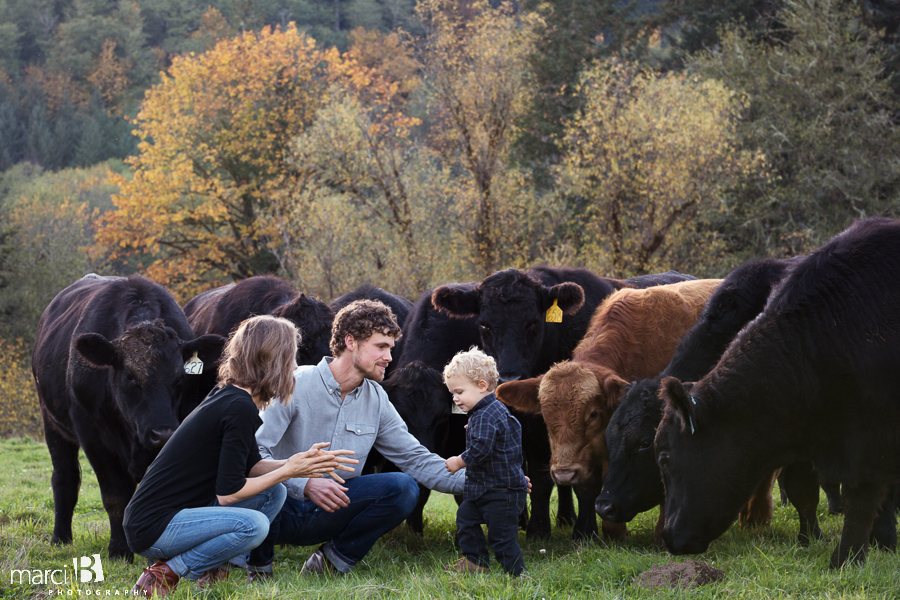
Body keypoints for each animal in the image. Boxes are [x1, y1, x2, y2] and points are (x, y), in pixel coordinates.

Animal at [34, 274, 225, 560]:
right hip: (53, 424)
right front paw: (119, 550)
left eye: (180, 378)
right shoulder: (93, 436)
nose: (162, 433)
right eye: (129, 376)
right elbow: (115, 495)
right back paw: (60, 538)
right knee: (65, 478)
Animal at [432, 268, 692, 540]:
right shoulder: (533, 428)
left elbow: (588, 481)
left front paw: (586, 531)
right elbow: (540, 477)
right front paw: (537, 529)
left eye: (534, 323)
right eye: (484, 324)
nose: (509, 377)